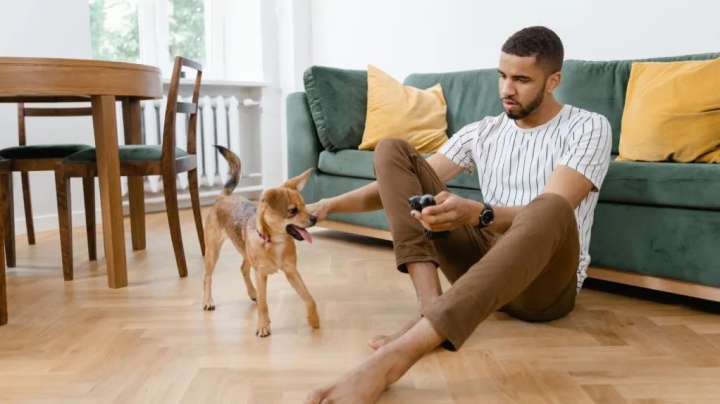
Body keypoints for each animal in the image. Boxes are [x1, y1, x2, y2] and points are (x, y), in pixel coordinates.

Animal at [200, 146, 318, 338]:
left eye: (305, 206)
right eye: (293, 211)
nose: (315, 218)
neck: (274, 242)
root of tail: (223, 196)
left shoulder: (292, 272)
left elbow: (308, 297)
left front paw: (314, 319)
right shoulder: (261, 275)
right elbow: (264, 305)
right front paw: (263, 326)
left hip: (245, 253)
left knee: (243, 268)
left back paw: (252, 293)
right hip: (212, 252)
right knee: (207, 277)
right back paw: (208, 301)